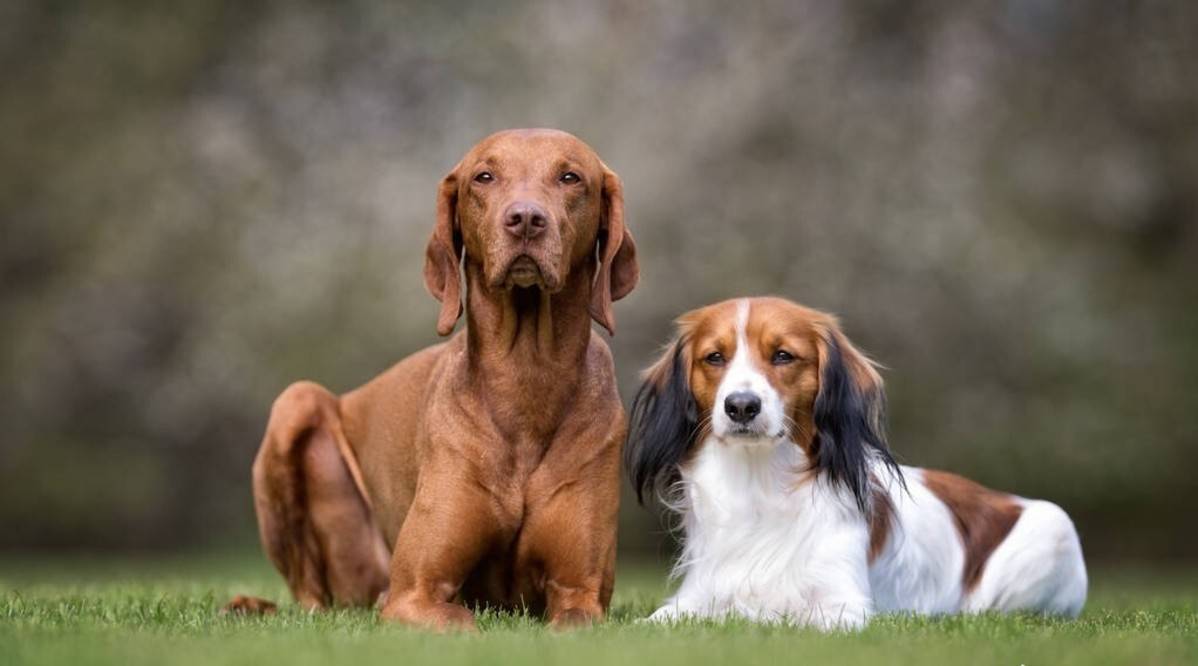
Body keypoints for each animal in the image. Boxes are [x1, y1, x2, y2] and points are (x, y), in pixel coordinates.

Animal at [238, 128, 642, 627]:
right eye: (483, 177)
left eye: (571, 177)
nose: (526, 220)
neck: (526, 377)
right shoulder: (416, 591)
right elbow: (461, 620)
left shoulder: (580, 592)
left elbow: (572, 617)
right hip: (296, 401)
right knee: (311, 600)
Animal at [627, 297, 1087, 627]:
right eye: (715, 358)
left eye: (782, 356)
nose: (741, 406)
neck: (759, 484)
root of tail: (1006, 498)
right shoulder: (692, 599)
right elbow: (656, 622)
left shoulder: (843, 609)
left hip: (1055, 524)